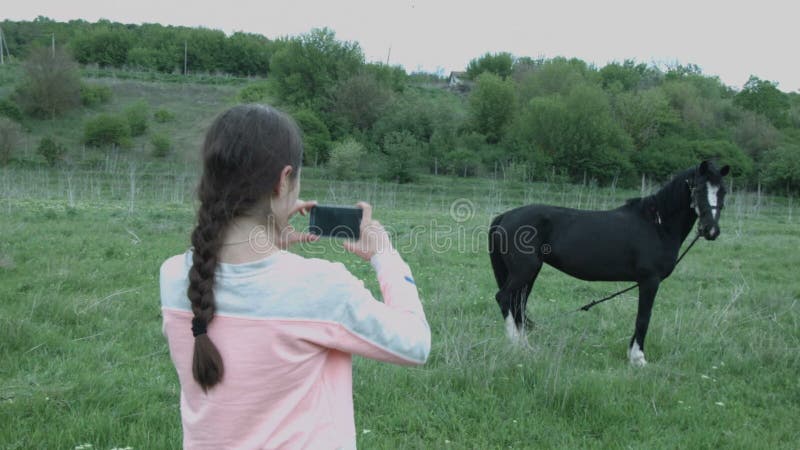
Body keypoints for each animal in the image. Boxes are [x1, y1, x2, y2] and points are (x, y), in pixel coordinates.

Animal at [488, 160, 732, 364]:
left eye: (723, 192)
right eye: (698, 189)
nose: (710, 230)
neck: (657, 224)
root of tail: (505, 216)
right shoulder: (650, 280)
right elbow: (644, 317)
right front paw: (638, 359)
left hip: (530, 273)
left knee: (518, 304)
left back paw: (526, 348)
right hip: (524, 271)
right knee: (504, 298)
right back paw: (516, 346)